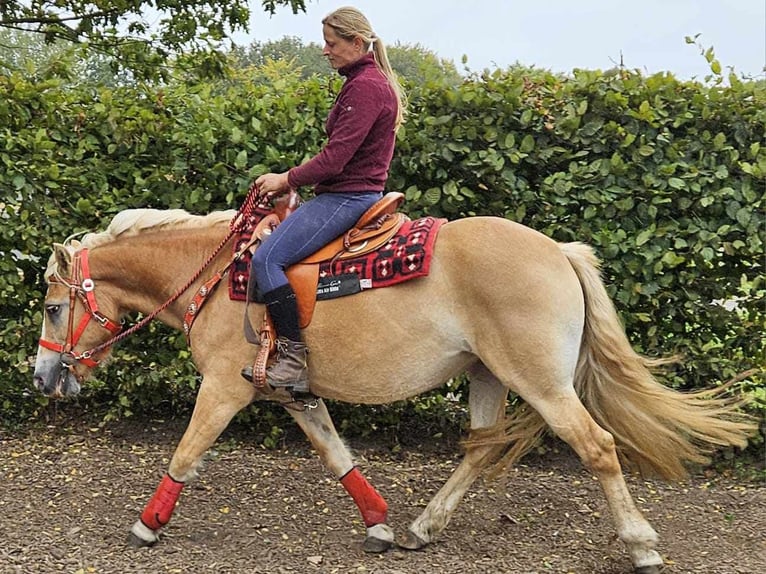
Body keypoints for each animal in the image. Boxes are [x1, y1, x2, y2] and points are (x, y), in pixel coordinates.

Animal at [34, 200, 756, 572]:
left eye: (51, 307)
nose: (43, 376)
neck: (219, 277)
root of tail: (559, 250)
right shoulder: (292, 393)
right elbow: (337, 455)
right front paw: (379, 523)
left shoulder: (223, 390)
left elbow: (186, 453)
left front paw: (147, 525)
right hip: (489, 377)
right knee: (478, 452)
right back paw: (421, 528)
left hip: (542, 383)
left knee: (598, 447)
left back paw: (640, 544)